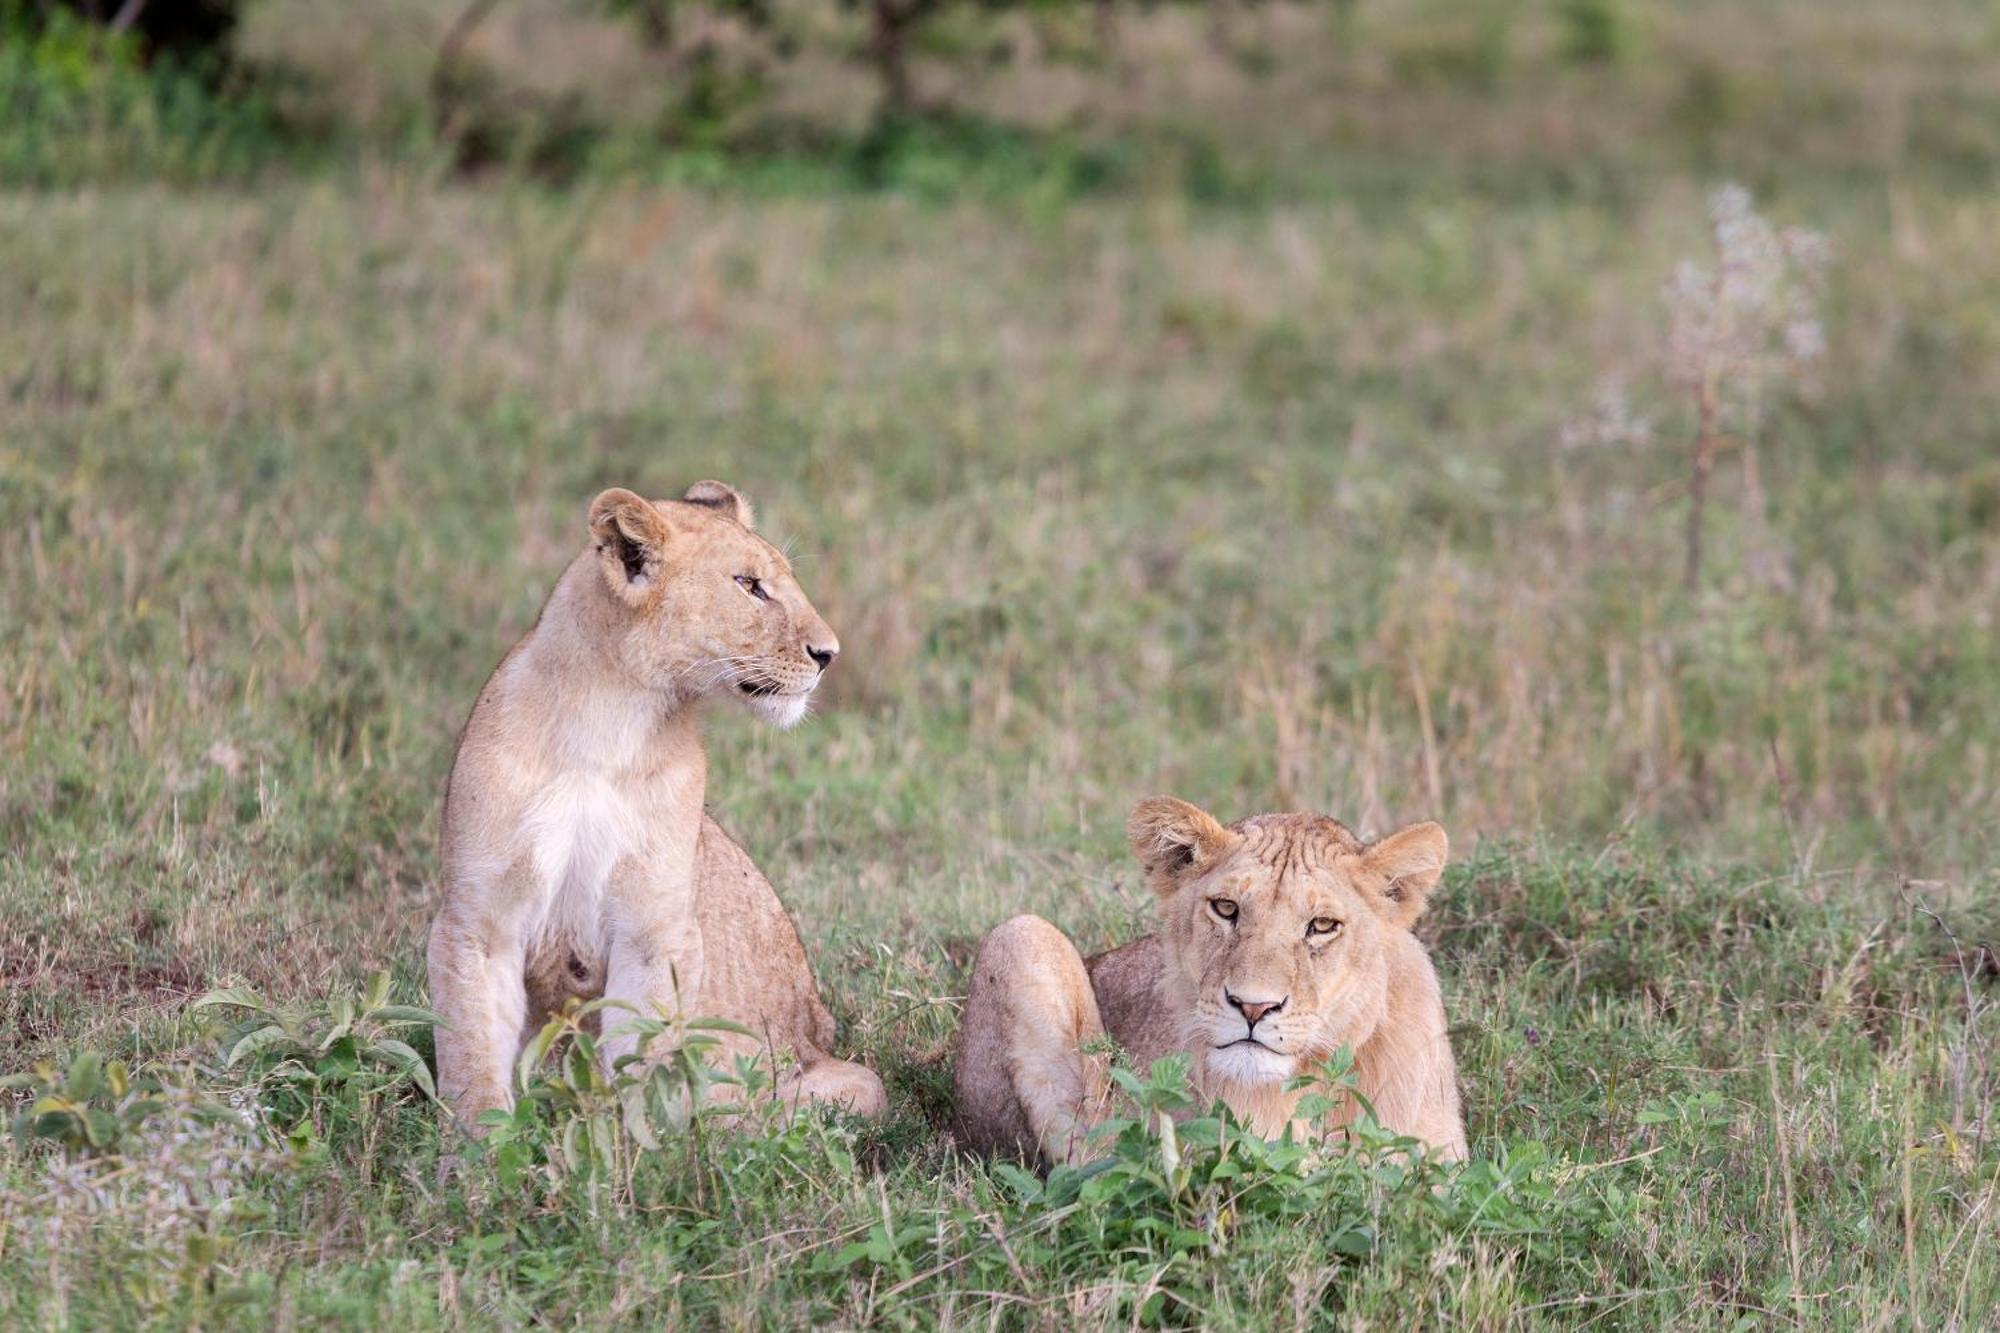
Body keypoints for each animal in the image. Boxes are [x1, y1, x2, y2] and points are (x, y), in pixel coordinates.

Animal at [428, 482, 884, 1128]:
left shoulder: (654, 930)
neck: (607, 722)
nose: (829, 653)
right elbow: (471, 1057)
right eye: (748, 584)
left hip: (846, 1085)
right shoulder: (476, 921)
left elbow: (640, 1059)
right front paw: (479, 1150)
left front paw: (632, 1148)